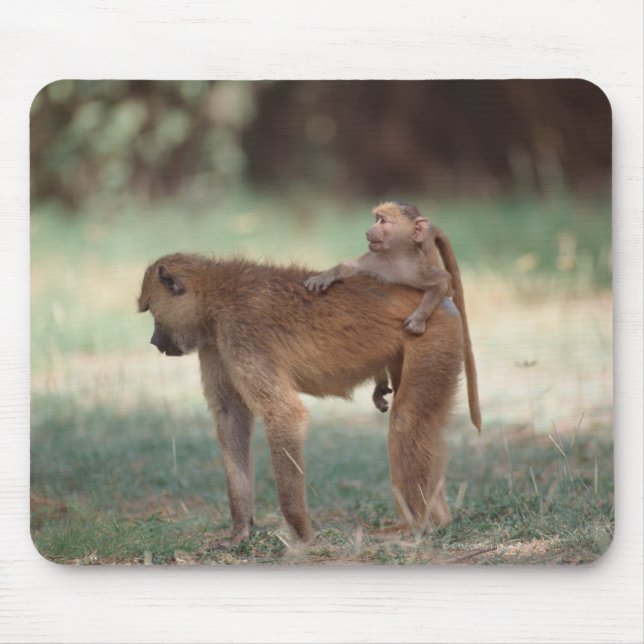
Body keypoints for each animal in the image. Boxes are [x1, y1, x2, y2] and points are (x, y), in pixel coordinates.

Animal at [138, 253, 481, 545]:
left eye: (152, 311)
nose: (153, 341)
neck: (214, 297)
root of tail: (440, 301)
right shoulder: (215, 344)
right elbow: (231, 416)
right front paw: (241, 531)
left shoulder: (241, 334)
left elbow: (283, 413)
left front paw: (301, 533)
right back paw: (438, 521)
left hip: (431, 334)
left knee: (407, 419)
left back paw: (413, 526)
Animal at [304, 201, 480, 427]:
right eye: (376, 219)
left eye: (383, 221)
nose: (368, 231)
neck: (394, 257)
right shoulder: (374, 260)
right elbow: (349, 267)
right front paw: (325, 277)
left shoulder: (416, 268)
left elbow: (443, 283)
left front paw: (418, 319)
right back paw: (380, 384)